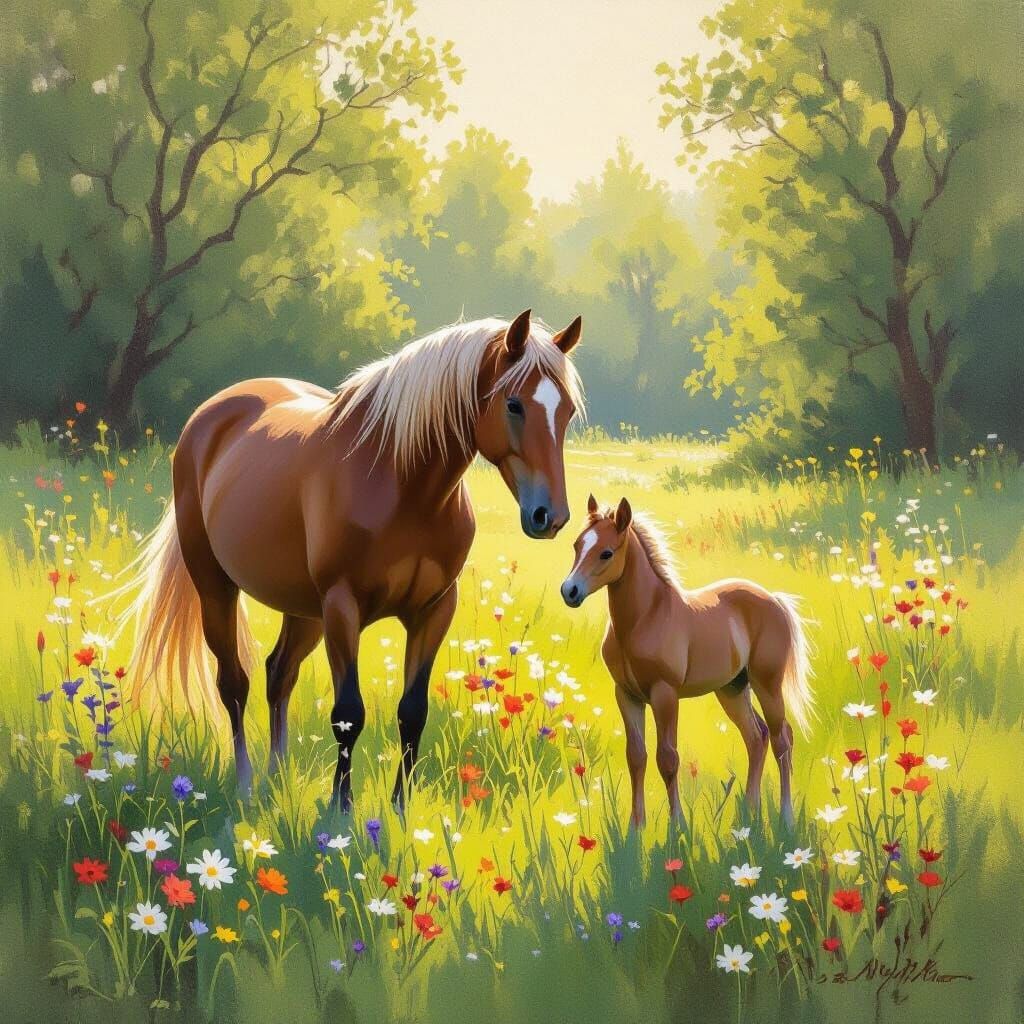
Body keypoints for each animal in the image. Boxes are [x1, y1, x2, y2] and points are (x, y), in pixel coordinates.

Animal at [120, 309, 584, 811]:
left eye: (566, 411)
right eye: (514, 405)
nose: (550, 516)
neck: (403, 485)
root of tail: (209, 415)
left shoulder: (434, 609)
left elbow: (412, 712)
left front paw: (399, 809)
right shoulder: (343, 607)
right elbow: (348, 714)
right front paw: (340, 810)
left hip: (303, 610)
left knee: (278, 674)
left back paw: (277, 778)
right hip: (217, 588)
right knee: (235, 684)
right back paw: (245, 784)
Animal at [559, 495, 813, 830]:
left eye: (606, 553)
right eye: (577, 545)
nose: (569, 591)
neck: (645, 618)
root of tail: (774, 600)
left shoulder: (665, 694)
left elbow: (667, 758)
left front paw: (677, 826)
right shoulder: (626, 695)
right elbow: (636, 757)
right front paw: (635, 828)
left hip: (767, 684)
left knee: (781, 741)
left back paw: (786, 818)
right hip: (732, 689)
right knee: (756, 737)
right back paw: (749, 813)